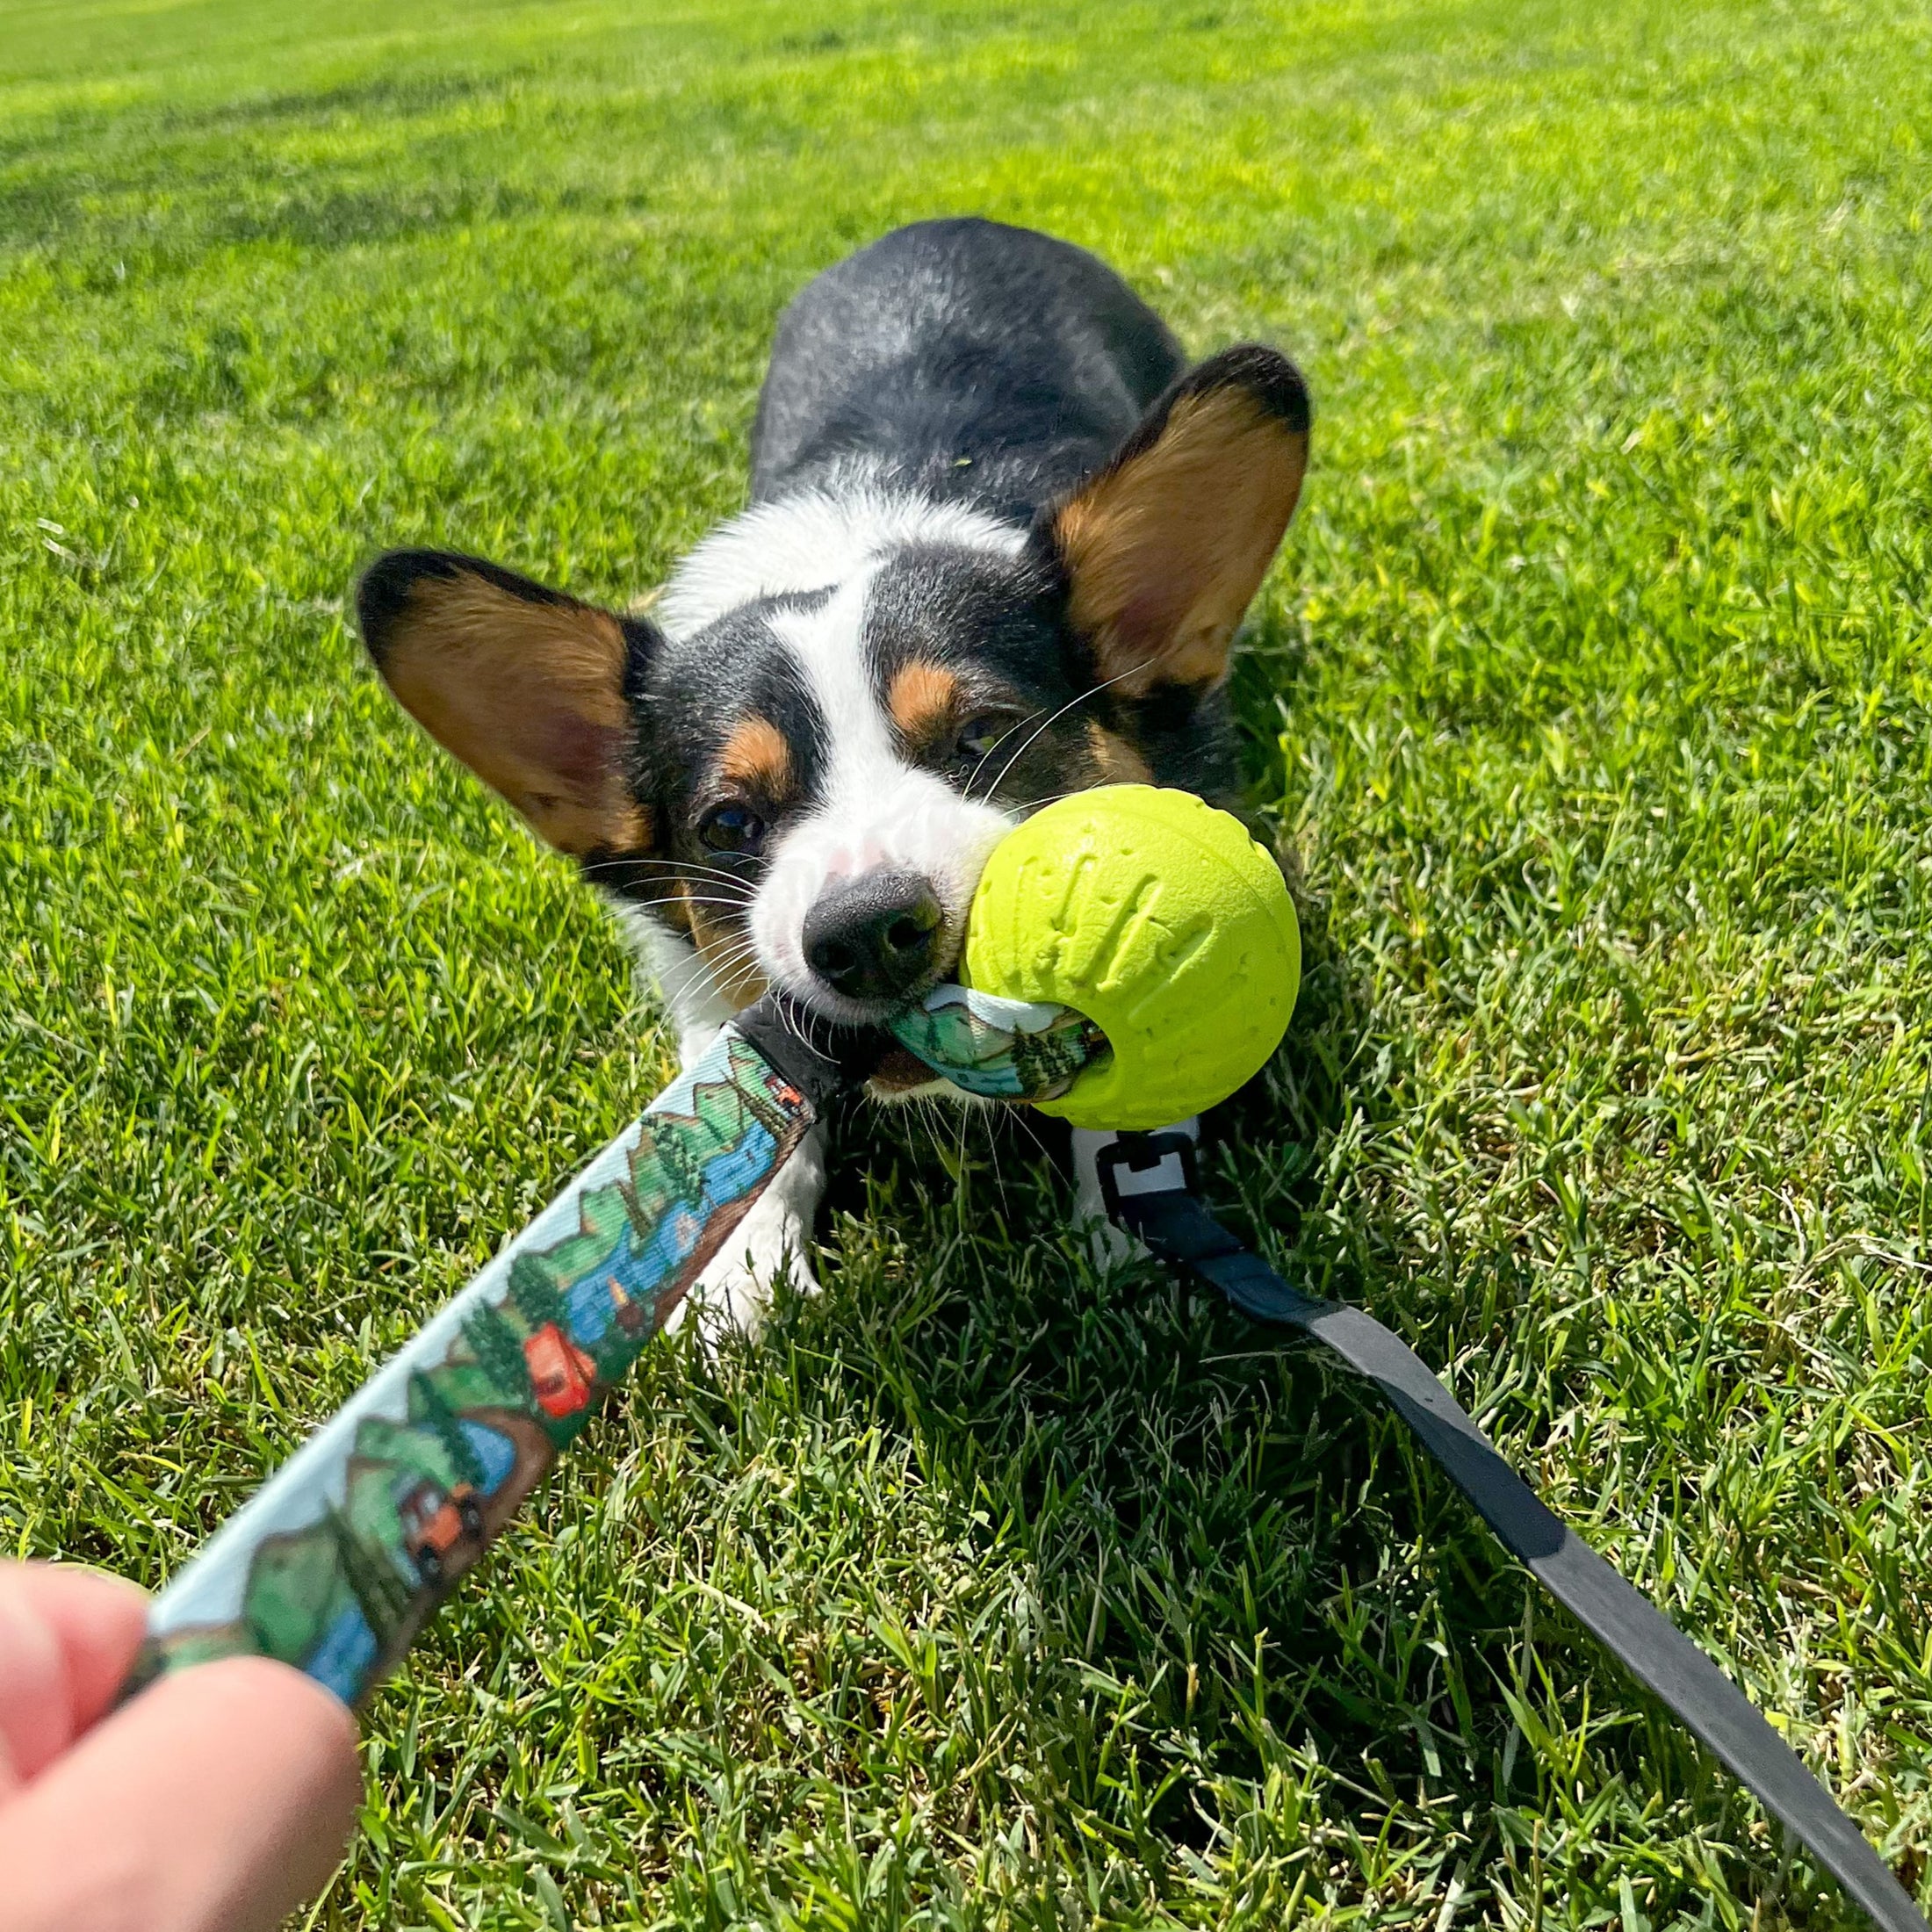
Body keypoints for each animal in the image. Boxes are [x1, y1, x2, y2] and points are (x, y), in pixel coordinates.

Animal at [359, 211, 1314, 1329]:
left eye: (983, 734)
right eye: (728, 824)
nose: (865, 932)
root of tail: (951, 221)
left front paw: (1125, 1235)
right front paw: (738, 1278)